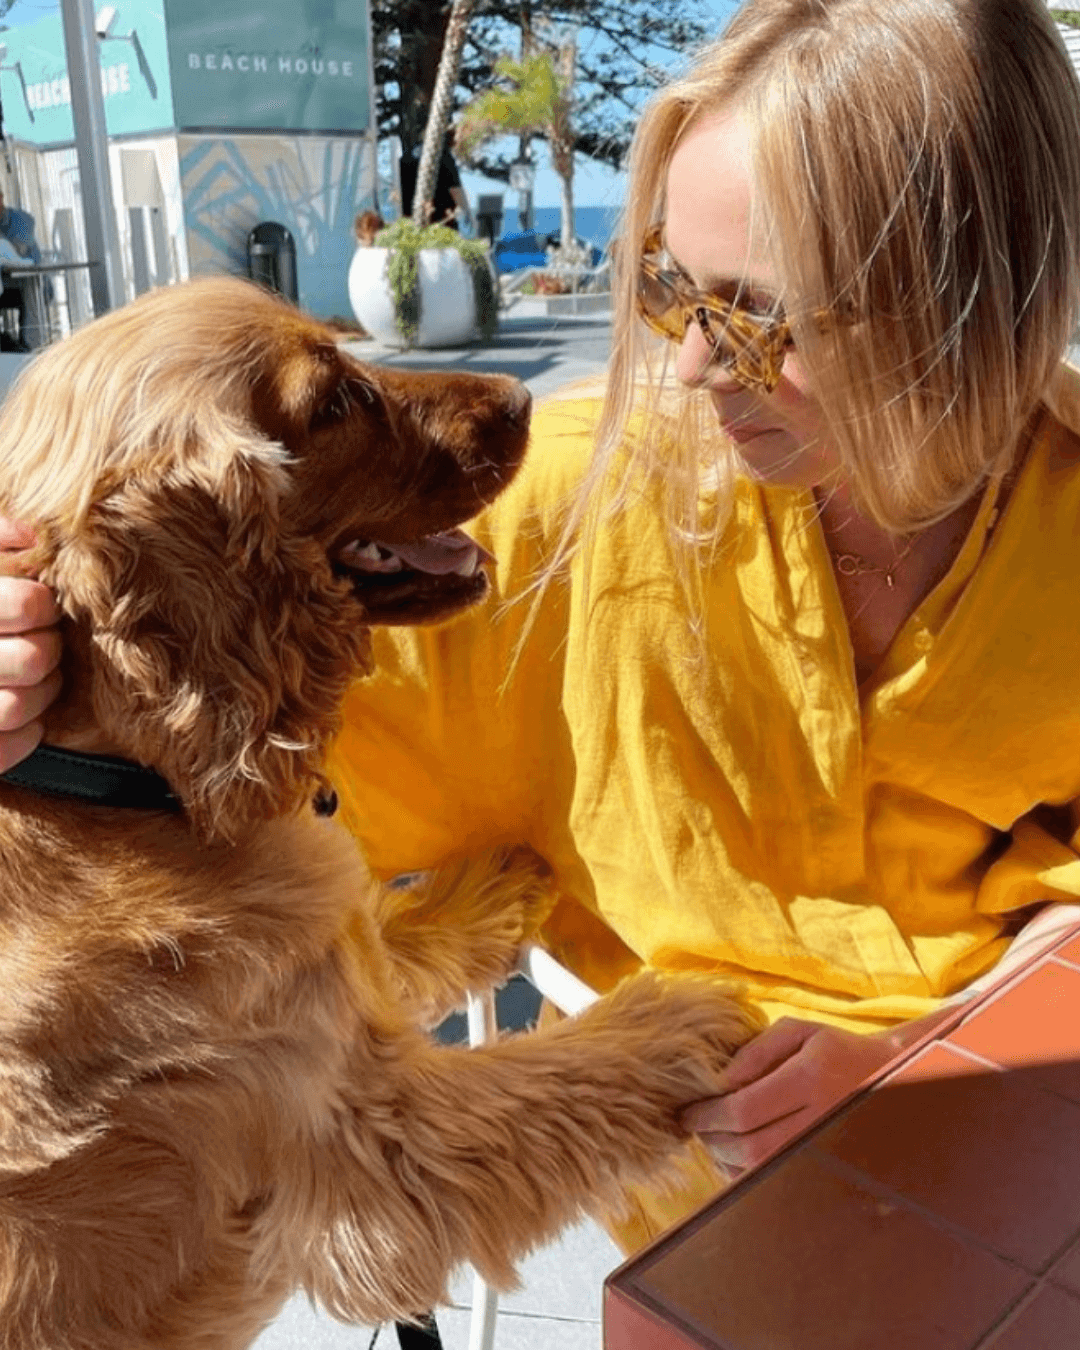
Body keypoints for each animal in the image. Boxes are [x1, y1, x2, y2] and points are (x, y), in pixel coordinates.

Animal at [0, 279, 756, 1344]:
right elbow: (551, 1077)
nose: (519, 401)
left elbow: (389, 925)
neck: (131, 793)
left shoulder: (332, 960)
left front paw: (497, 882)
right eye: (333, 403)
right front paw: (673, 1017)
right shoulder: (373, 1142)